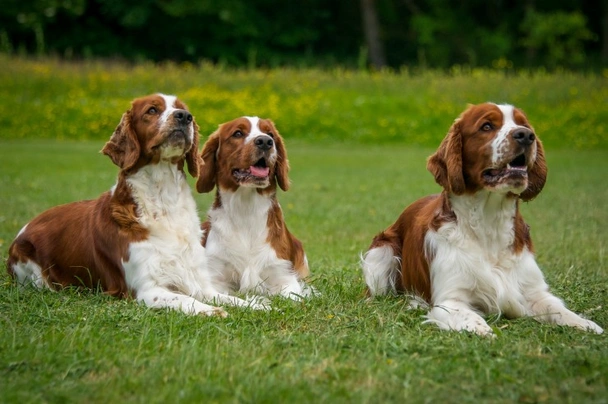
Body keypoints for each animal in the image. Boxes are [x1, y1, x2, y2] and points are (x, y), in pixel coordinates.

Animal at [6, 92, 264, 316]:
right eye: (152, 110)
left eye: (183, 109)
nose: (184, 116)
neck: (163, 199)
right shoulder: (147, 289)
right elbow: (185, 299)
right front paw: (211, 311)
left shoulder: (198, 279)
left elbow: (227, 297)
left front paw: (256, 304)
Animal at [196, 117, 312, 300]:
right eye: (237, 133)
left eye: (270, 134)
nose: (265, 141)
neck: (246, 209)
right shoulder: (216, 278)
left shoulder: (284, 277)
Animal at [360, 102, 604, 336]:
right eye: (486, 126)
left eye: (525, 125)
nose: (526, 135)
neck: (489, 222)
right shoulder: (450, 299)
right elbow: (470, 317)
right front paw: (483, 330)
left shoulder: (533, 291)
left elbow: (561, 311)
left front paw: (588, 325)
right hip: (381, 254)